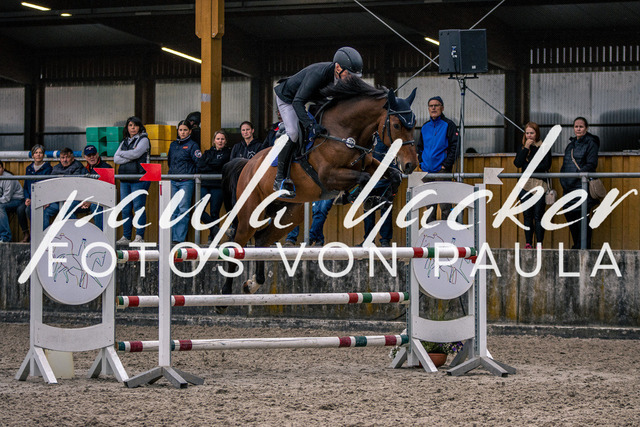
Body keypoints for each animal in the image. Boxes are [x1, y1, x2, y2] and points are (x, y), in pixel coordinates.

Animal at [222, 78, 418, 295]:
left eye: (413, 125)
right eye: (396, 124)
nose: (411, 164)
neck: (345, 133)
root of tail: (247, 164)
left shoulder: (369, 163)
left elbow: (392, 175)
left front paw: (380, 198)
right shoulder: (328, 176)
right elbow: (365, 178)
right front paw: (361, 197)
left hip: (289, 214)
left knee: (261, 239)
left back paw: (253, 283)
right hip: (250, 213)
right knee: (237, 243)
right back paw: (225, 293)